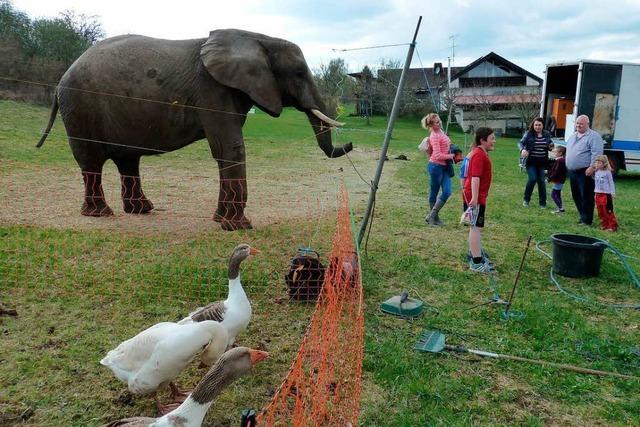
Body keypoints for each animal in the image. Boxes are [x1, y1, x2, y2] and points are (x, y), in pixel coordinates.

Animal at [36, 28, 350, 231]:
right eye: (298, 73)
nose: (350, 145)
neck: (257, 38)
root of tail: (60, 81)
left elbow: (224, 151)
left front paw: (220, 220)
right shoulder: (213, 90)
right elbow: (231, 147)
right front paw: (239, 227)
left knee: (128, 159)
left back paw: (142, 210)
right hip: (81, 107)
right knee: (91, 161)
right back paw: (101, 214)